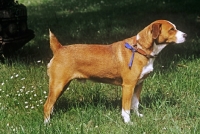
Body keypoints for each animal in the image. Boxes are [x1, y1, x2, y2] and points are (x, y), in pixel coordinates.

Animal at [43, 19, 186, 123]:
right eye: (172, 29)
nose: (185, 35)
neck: (140, 49)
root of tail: (59, 49)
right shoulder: (128, 86)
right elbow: (126, 108)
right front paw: (128, 123)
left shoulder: (139, 84)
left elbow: (135, 104)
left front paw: (138, 116)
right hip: (58, 85)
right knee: (47, 105)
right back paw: (47, 124)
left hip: (61, 86)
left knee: (51, 105)